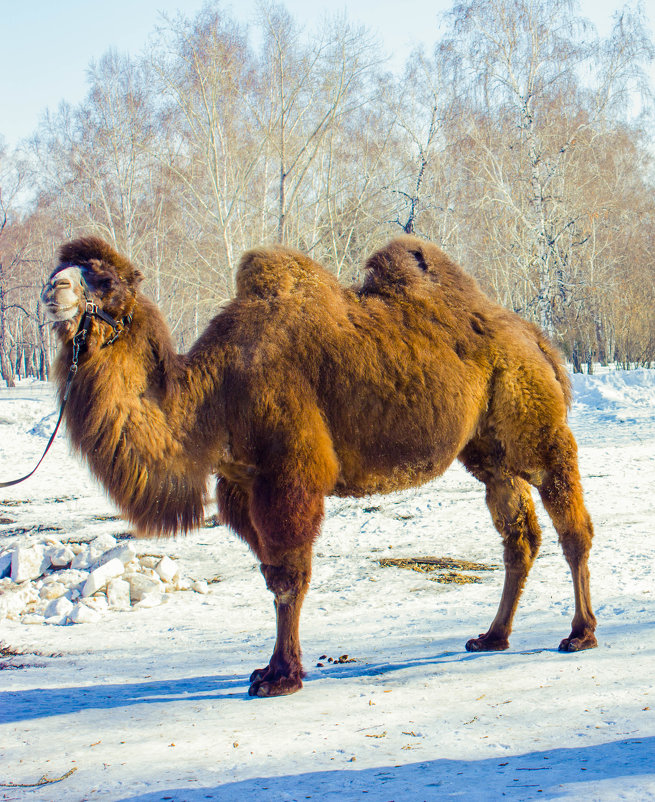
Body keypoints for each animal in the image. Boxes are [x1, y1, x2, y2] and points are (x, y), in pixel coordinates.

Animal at [38, 233, 596, 692]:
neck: (211, 397)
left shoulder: (288, 474)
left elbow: (290, 577)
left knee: (570, 521)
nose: (52, 289)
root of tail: (537, 339)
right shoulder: (241, 487)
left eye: (104, 280)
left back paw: (580, 634)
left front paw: (280, 675)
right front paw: (271, 669)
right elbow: (272, 575)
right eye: (60, 268)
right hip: (488, 451)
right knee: (519, 536)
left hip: (533, 424)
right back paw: (492, 636)